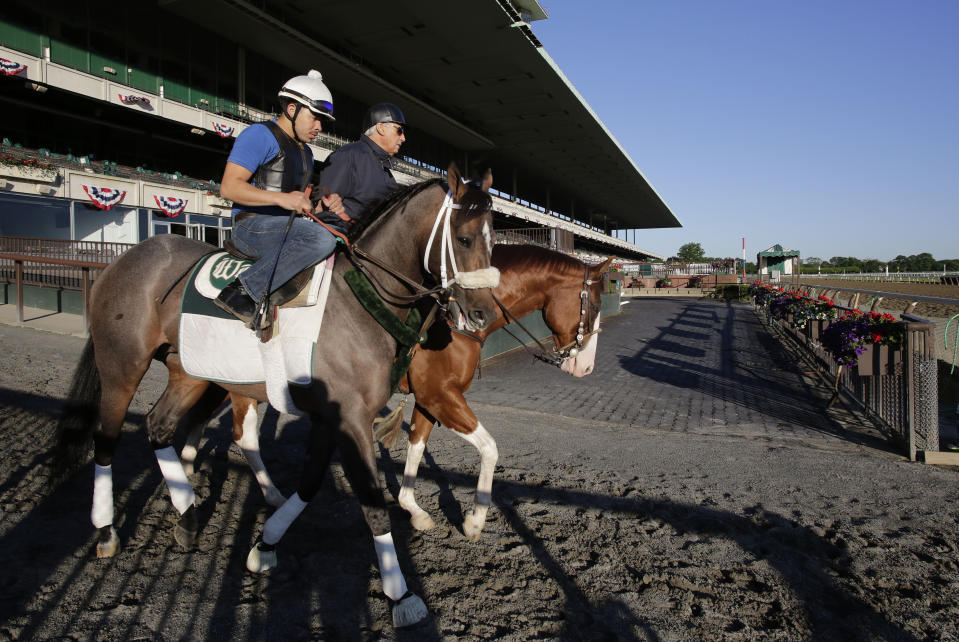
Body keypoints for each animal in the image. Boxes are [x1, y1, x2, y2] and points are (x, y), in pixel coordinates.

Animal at [53, 162, 498, 628]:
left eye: (493, 240)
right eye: (464, 238)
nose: (482, 314)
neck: (358, 299)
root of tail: (126, 258)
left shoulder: (331, 416)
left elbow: (310, 483)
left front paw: (265, 543)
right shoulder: (352, 419)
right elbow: (372, 503)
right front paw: (402, 593)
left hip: (189, 373)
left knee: (159, 428)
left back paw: (188, 514)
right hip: (122, 367)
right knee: (107, 440)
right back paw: (106, 529)